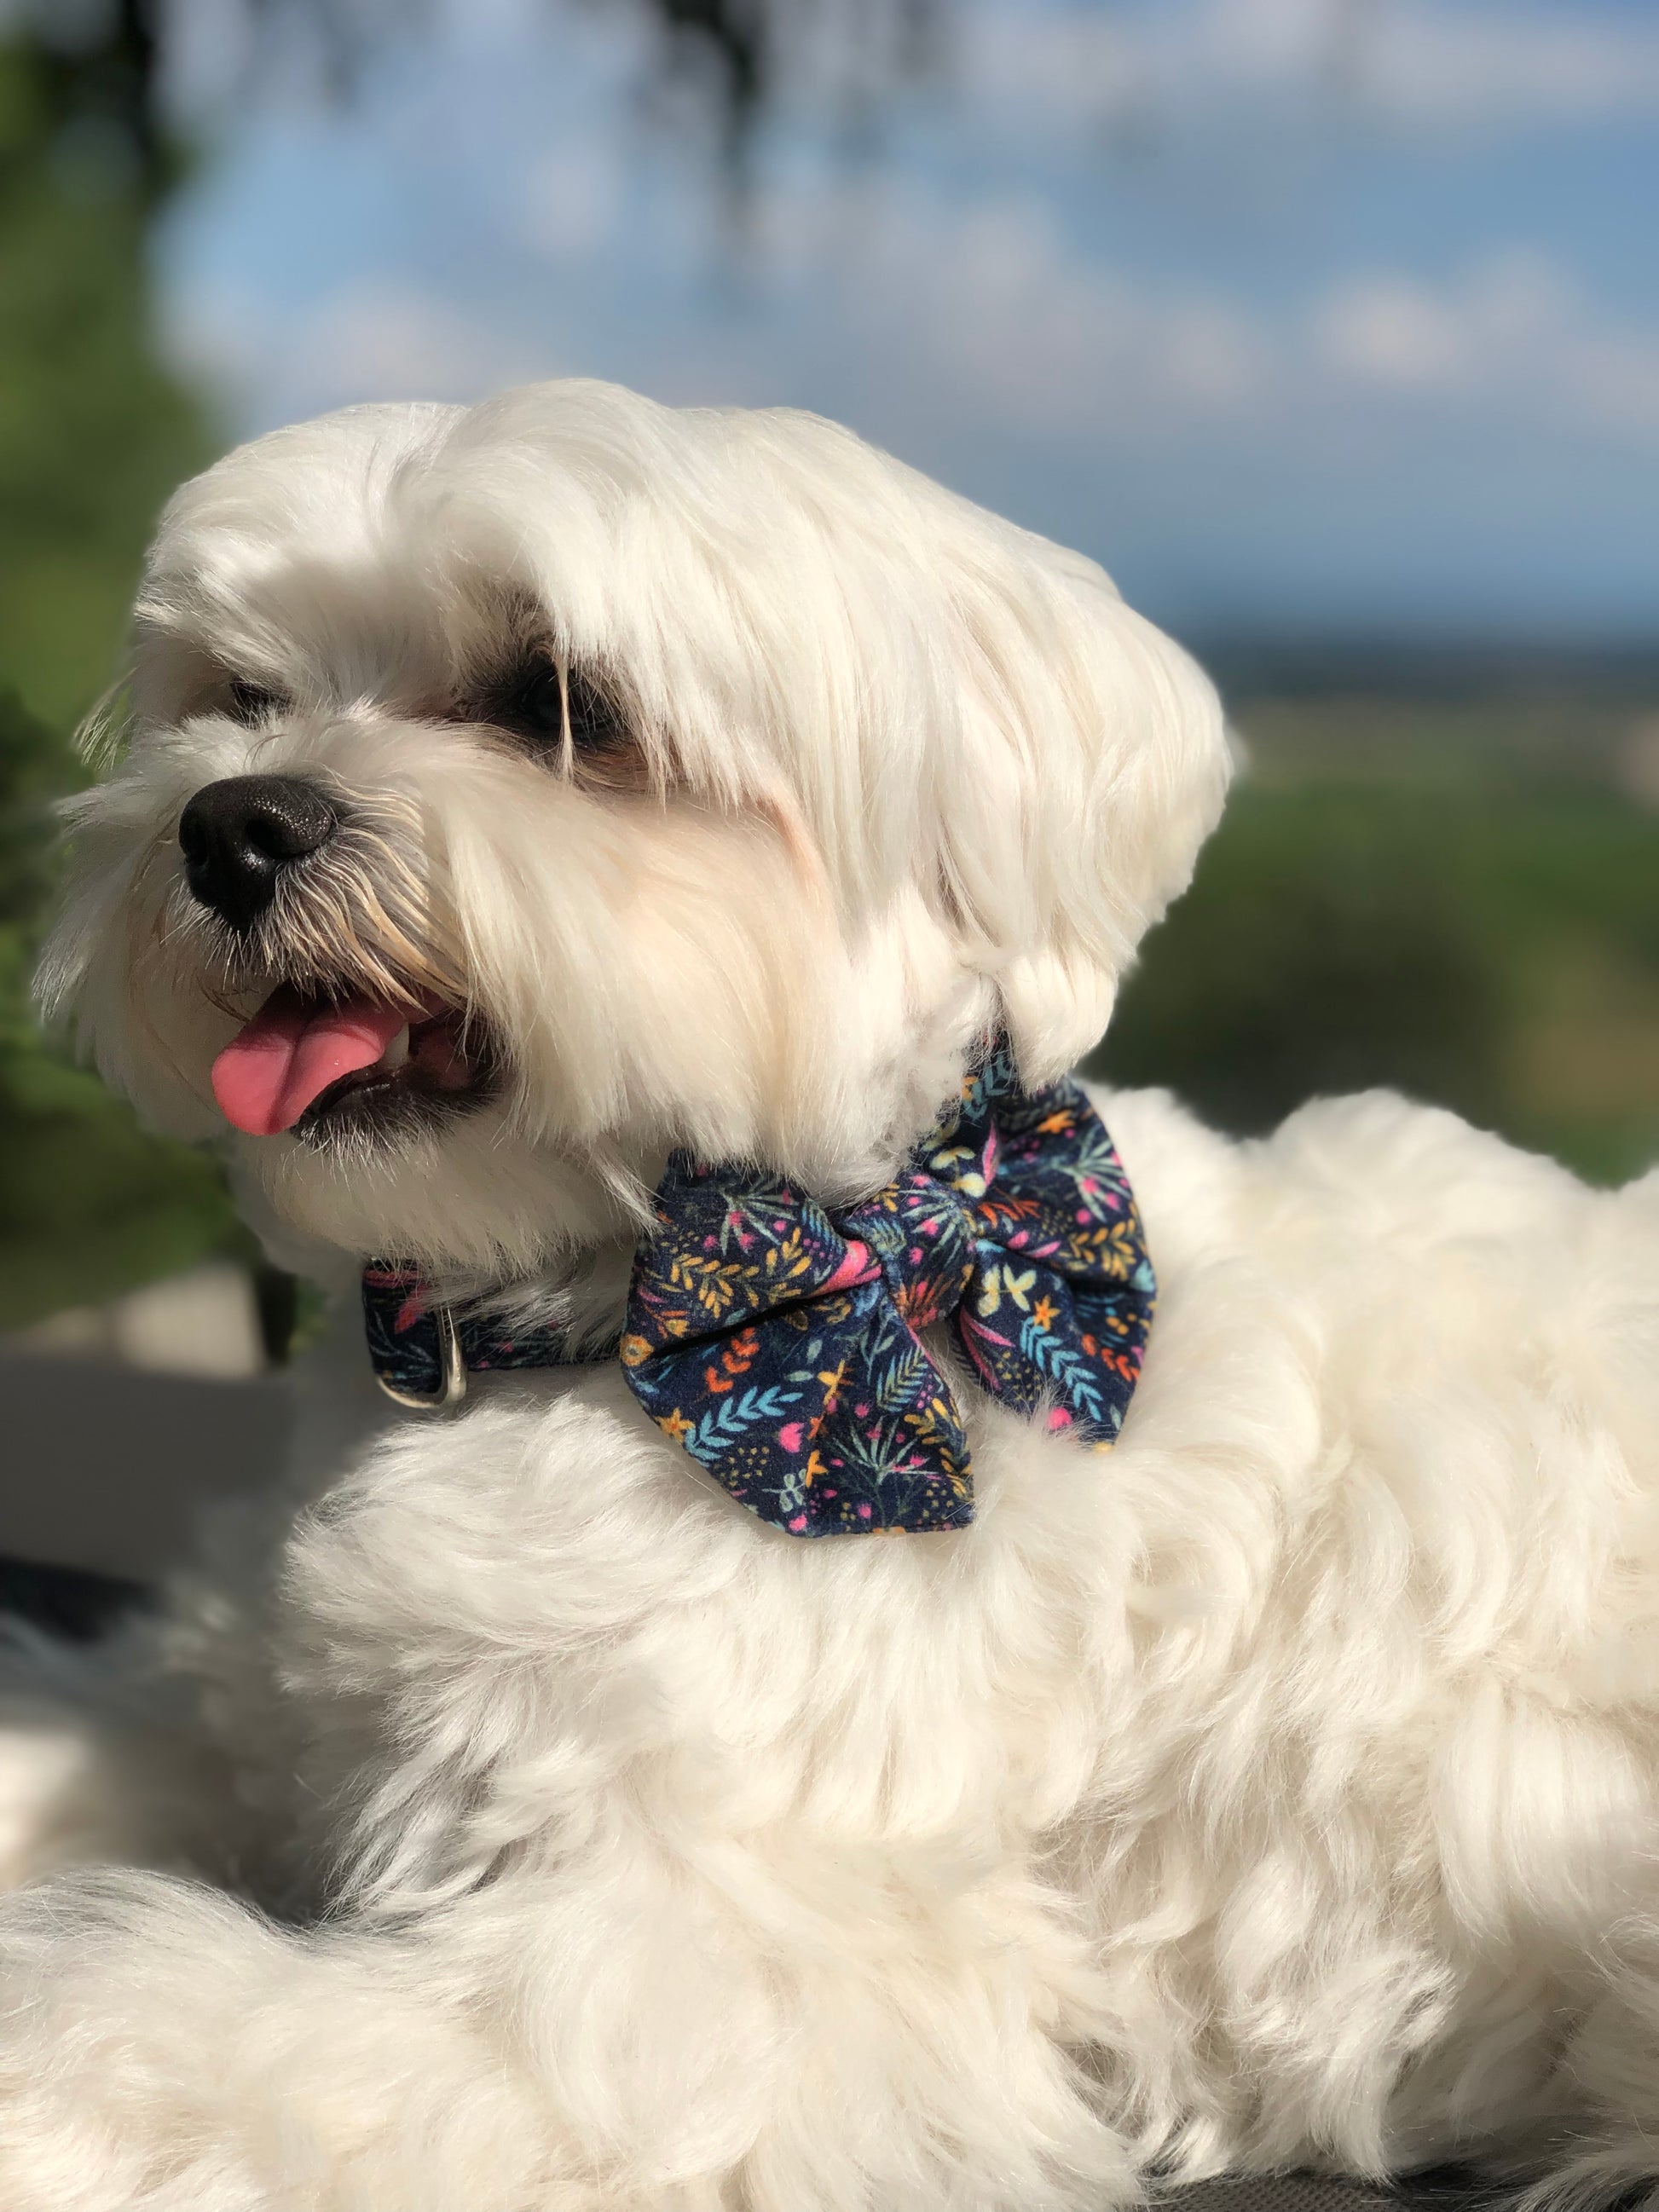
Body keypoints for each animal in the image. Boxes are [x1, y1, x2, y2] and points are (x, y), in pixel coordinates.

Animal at [3, 380, 1659, 2212]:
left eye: (563, 704)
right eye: (241, 693)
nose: (231, 824)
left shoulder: (708, 1988)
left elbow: (160, 2039)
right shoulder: (242, 1708)